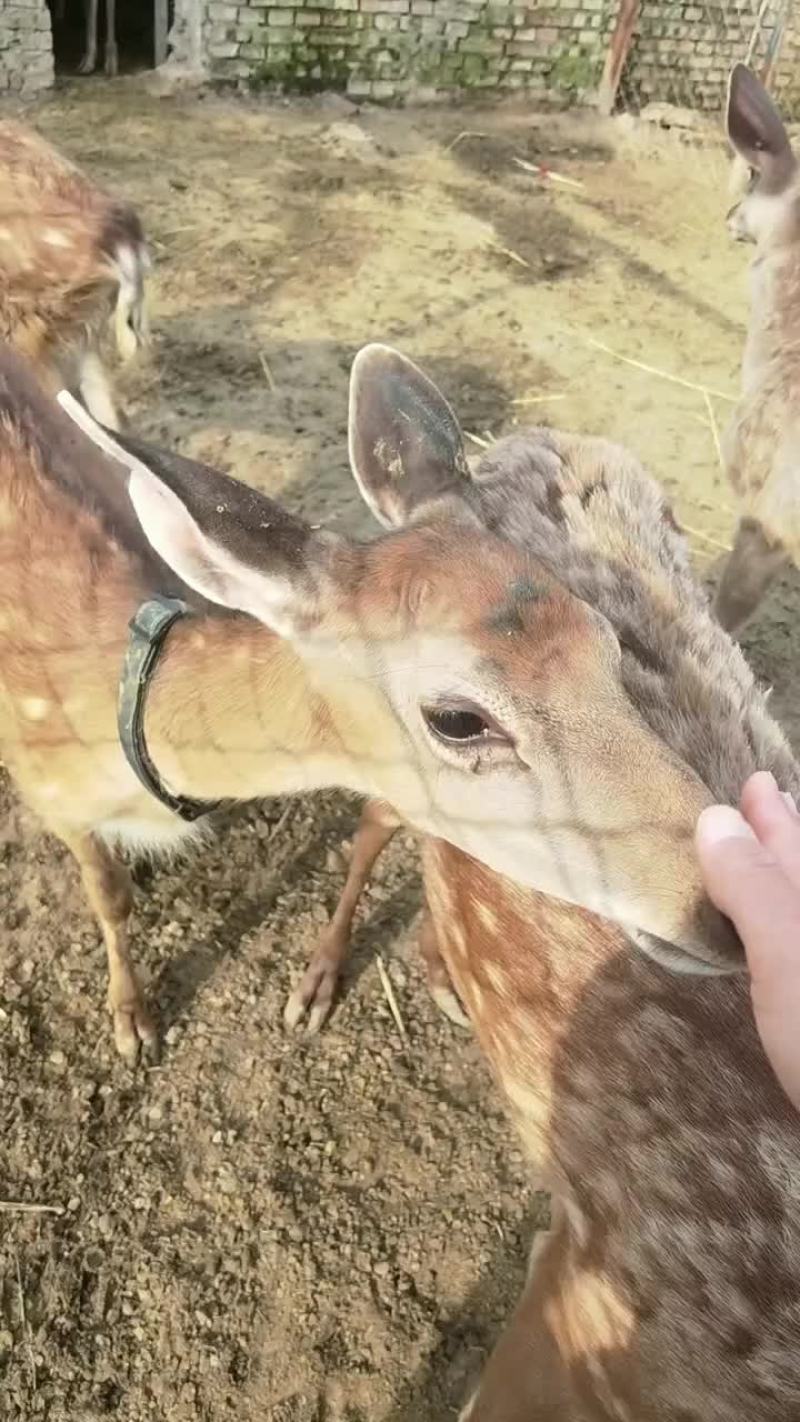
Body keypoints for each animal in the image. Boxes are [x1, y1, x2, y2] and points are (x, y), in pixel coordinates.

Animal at [0, 339, 743, 1068]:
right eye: (457, 719)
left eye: (610, 643)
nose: (723, 904)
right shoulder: (54, 801)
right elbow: (111, 897)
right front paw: (132, 1024)